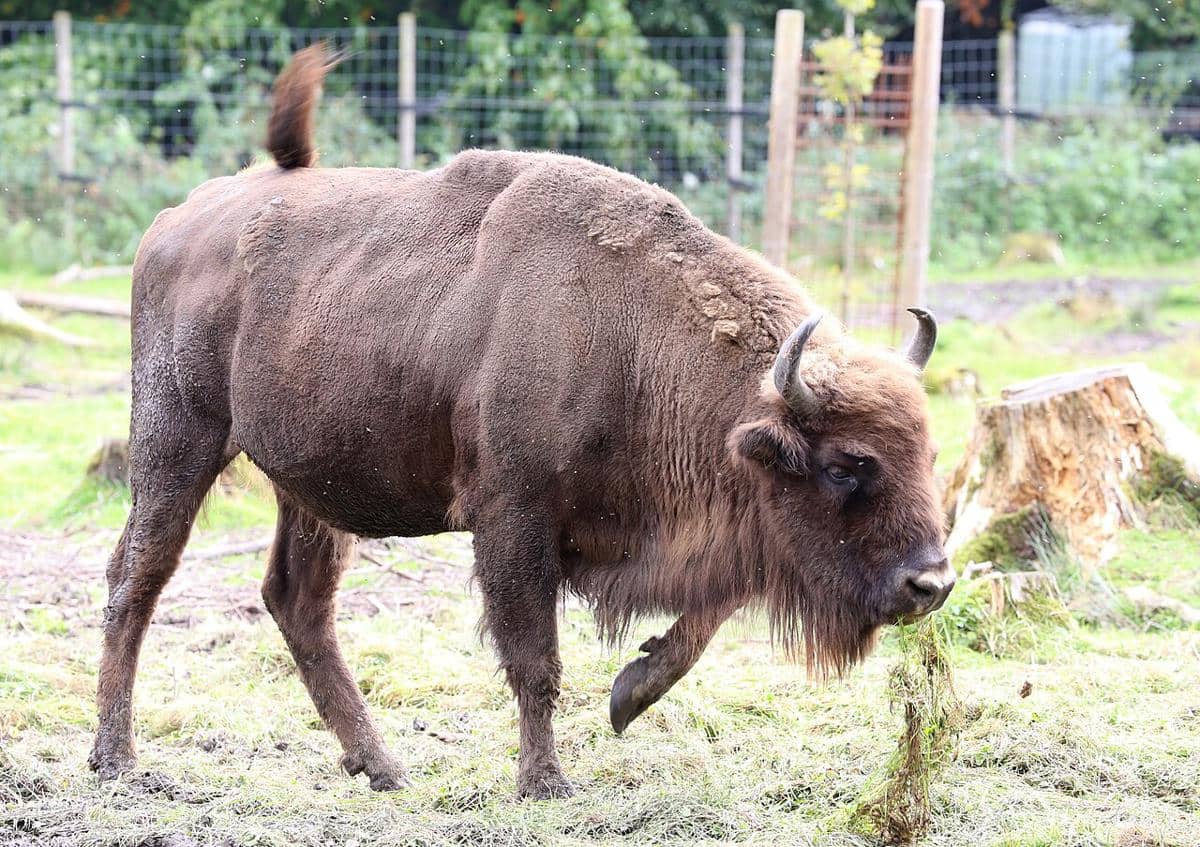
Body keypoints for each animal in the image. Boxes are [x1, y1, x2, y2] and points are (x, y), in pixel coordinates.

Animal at [90, 45, 954, 799]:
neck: (626, 335)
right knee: (137, 577)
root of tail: (177, 221)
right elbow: (534, 657)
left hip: (309, 488)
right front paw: (545, 781)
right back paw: (117, 759)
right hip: (178, 441)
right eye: (846, 464)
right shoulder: (513, 518)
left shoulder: (706, 533)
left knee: (297, 601)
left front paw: (627, 697)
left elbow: (699, 620)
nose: (933, 583)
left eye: (928, 454)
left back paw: (382, 765)